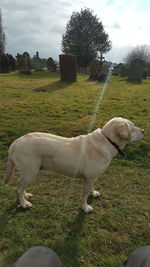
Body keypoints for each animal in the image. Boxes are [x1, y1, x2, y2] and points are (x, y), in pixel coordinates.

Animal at [4, 118, 144, 214]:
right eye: (132, 128)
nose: (143, 131)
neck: (108, 140)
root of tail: (16, 141)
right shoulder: (89, 178)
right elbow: (84, 195)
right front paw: (85, 207)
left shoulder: (92, 177)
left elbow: (92, 187)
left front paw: (93, 193)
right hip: (31, 172)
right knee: (18, 189)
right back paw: (24, 204)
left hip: (28, 173)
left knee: (21, 187)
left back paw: (25, 196)